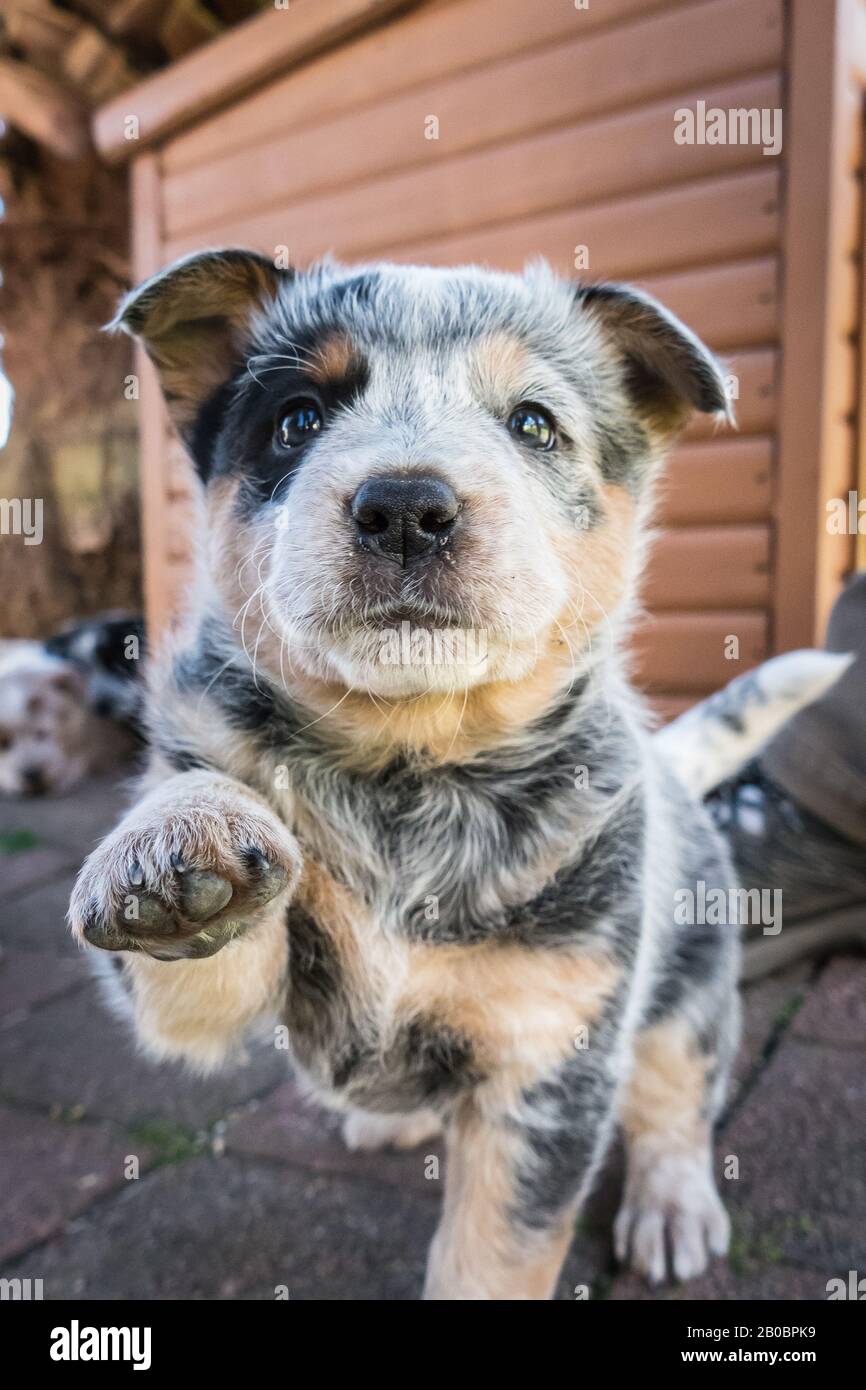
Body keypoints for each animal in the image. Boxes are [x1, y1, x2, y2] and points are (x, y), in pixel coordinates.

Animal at [66, 252, 811, 1301]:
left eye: (533, 422)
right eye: (297, 417)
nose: (406, 509)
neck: (408, 776)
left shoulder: (551, 1055)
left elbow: (490, 1260)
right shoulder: (219, 994)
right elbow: (200, 905)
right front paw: (173, 844)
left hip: (691, 994)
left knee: (676, 1103)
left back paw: (674, 1209)